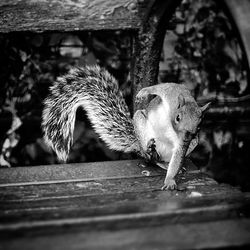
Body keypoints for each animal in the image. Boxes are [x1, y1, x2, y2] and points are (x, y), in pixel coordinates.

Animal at [42, 64, 210, 189]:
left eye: (199, 124)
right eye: (178, 117)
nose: (189, 134)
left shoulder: (183, 142)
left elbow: (179, 155)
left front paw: (170, 179)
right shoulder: (171, 94)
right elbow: (162, 87)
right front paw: (144, 92)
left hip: (192, 143)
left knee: (163, 160)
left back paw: (164, 163)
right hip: (141, 122)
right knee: (148, 156)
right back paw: (149, 150)